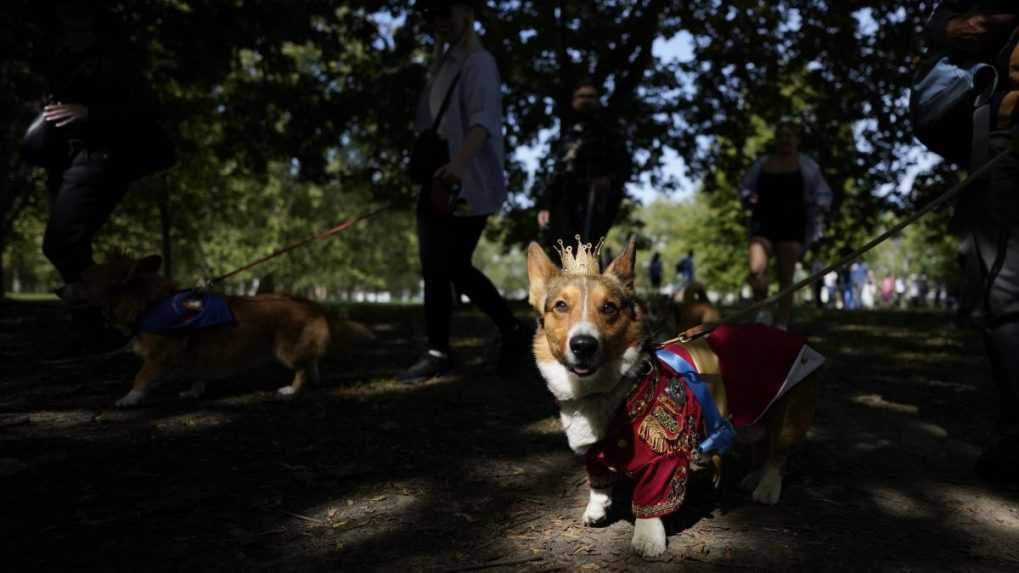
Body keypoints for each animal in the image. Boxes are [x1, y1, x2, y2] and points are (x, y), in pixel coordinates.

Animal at [78, 253, 374, 405]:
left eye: (85, 280)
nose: (66, 286)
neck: (149, 304)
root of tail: (310, 303)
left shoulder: (158, 357)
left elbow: (140, 377)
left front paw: (129, 399)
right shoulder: (195, 355)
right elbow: (197, 375)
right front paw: (193, 392)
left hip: (286, 350)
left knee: (301, 367)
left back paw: (291, 389)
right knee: (312, 360)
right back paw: (315, 379)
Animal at [529, 238, 823, 554]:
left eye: (609, 307)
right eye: (561, 306)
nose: (583, 345)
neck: (607, 389)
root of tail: (795, 338)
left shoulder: (664, 458)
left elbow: (651, 501)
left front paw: (648, 540)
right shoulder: (596, 453)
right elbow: (598, 481)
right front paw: (596, 510)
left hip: (790, 415)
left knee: (778, 453)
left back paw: (766, 488)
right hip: (753, 418)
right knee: (761, 447)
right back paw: (753, 478)